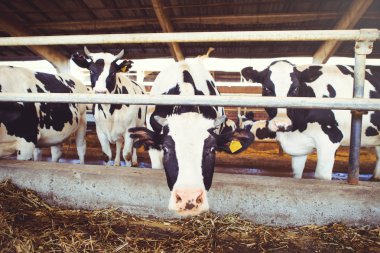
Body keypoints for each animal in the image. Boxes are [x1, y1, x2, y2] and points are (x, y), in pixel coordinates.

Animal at [242, 59, 378, 180]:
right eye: (266, 89)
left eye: (295, 89)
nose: (281, 124)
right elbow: (297, 175)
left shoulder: (330, 139)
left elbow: (320, 176)